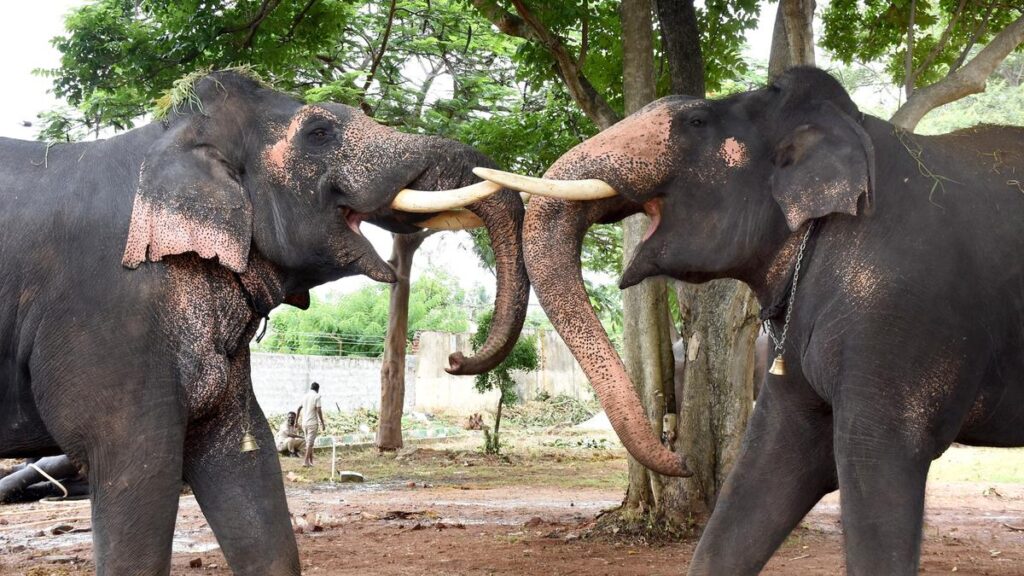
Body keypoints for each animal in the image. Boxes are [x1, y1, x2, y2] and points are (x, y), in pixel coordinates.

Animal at [0, 70, 527, 575]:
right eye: (318, 133)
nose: (456, 359)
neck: (170, 136)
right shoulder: (111, 310)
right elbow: (138, 466)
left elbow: (244, 454)